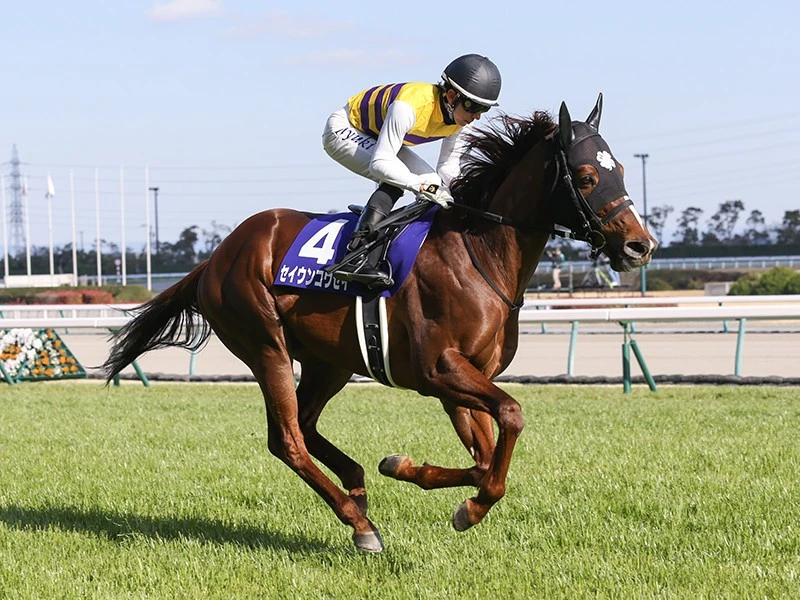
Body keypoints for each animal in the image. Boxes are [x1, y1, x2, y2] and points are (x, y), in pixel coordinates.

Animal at [102, 94, 657, 553]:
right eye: (585, 177)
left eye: (621, 169)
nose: (639, 246)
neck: (478, 252)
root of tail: (216, 257)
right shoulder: (440, 369)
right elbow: (512, 417)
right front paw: (470, 506)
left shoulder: (464, 378)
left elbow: (484, 458)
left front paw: (411, 471)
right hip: (265, 344)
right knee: (287, 438)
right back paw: (359, 523)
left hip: (329, 361)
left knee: (306, 425)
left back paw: (358, 488)